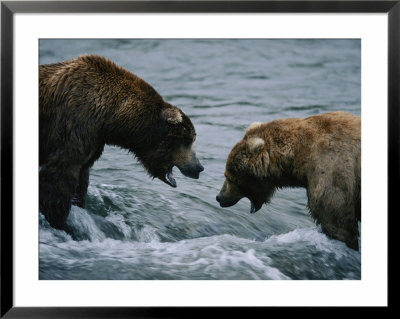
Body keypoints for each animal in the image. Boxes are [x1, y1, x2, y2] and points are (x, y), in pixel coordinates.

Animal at [39, 54, 203, 230]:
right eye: (188, 141)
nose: (199, 167)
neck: (109, 120)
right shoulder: (74, 127)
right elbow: (58, 180)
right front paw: (57, 220)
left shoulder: (93, 143)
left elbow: (81, 181)